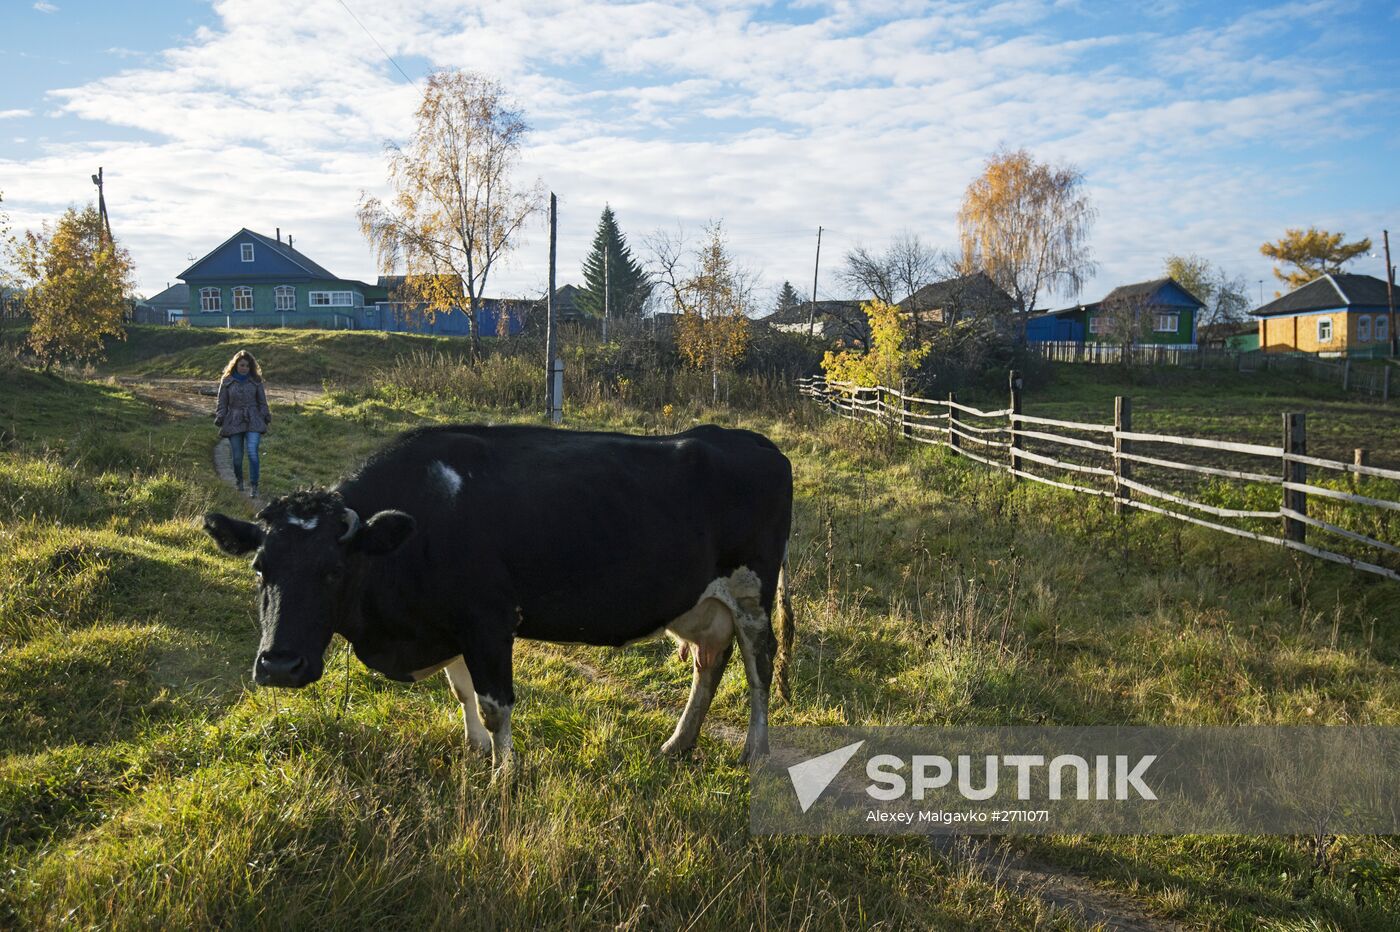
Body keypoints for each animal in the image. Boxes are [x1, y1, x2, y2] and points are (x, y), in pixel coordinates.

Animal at [201, 419, 795, 761]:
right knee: (709, 662)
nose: (280, 666)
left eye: (333, 570)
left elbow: (494, 704)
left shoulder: (487, 621)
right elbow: (462, 691)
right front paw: (474, 750)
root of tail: (757, 443)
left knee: (759, 666)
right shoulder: (450, 626)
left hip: (751, 591)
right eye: (260, 568)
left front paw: (501, 777)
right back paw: (678, 743)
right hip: (700, 602)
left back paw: (755, 752)